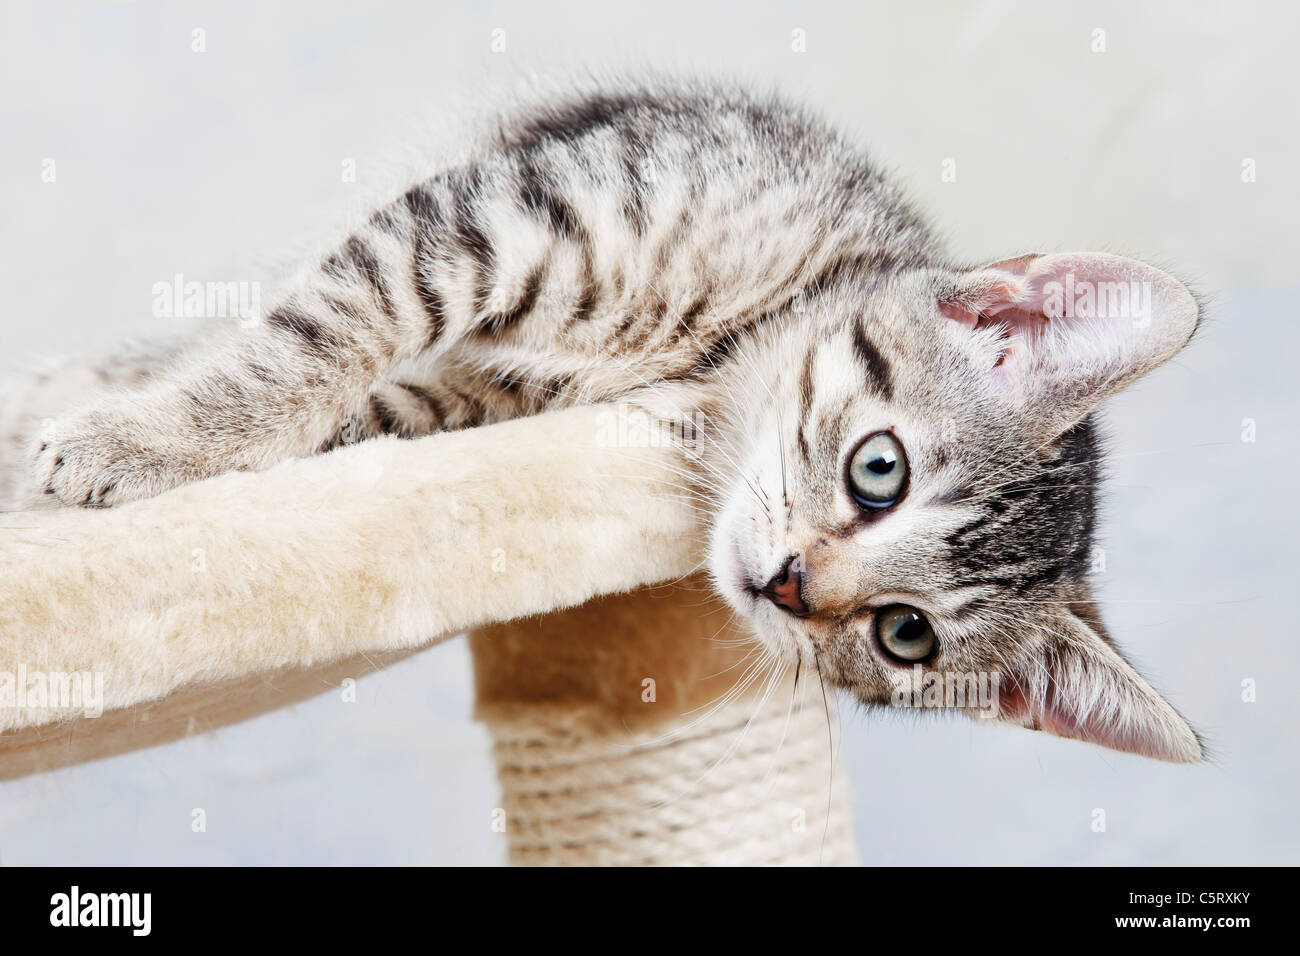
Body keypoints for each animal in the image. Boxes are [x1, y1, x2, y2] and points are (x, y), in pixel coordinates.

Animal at [20, 76, 1201, 764]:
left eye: (902, 635)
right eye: (881, 471)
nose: (792, 585)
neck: (709, 358)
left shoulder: (469, 402)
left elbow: (354, 405)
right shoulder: (495, 220)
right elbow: (310, 337)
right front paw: (139, 441)